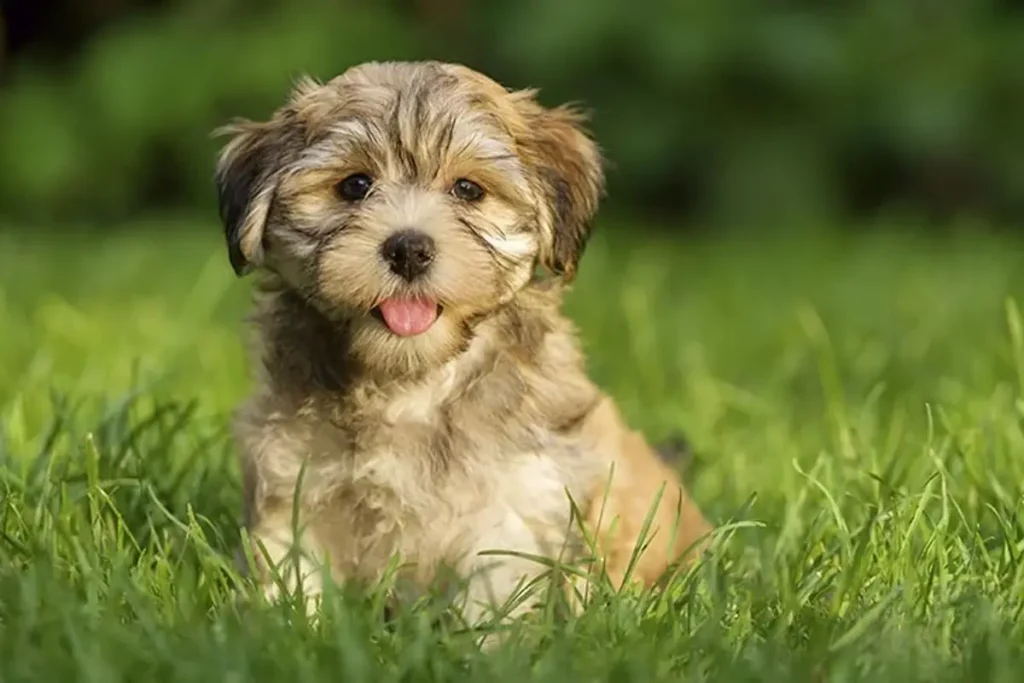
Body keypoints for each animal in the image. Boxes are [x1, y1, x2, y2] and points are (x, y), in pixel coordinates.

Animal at [216, 60, 712, 643]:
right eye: (355, 185)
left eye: (468, 189)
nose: (409, 248)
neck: (412, 379)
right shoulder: (293, 480)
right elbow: (293, 573)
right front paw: (284, 635)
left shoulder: (512, 500)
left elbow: (493, 591)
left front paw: (485, 649)